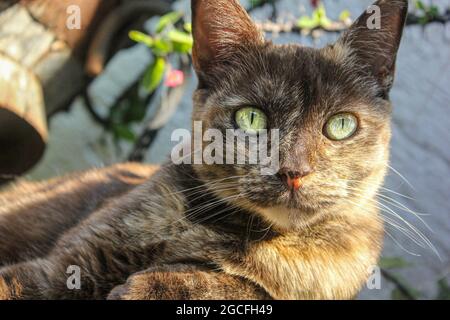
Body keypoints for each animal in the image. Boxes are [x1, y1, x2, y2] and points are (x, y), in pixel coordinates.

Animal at [0, 0, 408, 300]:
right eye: (251, 118)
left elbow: (248, 288)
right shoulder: (64, 266)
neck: (236, 234)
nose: (293, 171)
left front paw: (154, 285)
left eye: (341, 125)